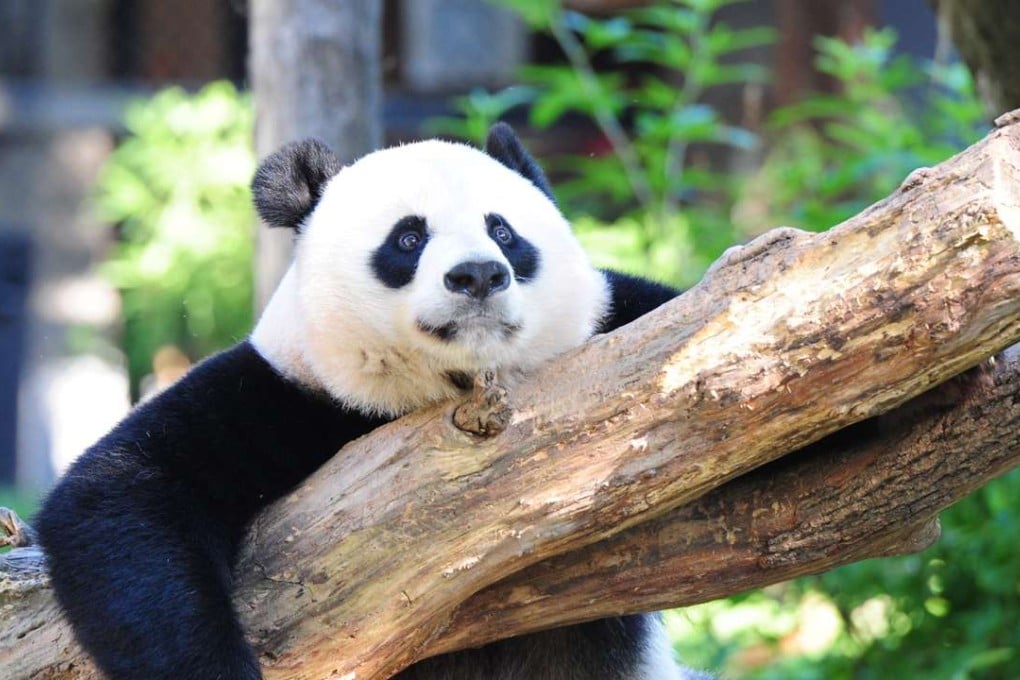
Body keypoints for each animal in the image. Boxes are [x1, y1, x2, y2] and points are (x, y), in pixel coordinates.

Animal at [36, 124, 703, 680]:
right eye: (408, 237)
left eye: (503, 232)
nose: (478, 276)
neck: (454, 383)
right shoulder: (285, 395)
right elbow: (121, 495)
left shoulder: (621, 322)